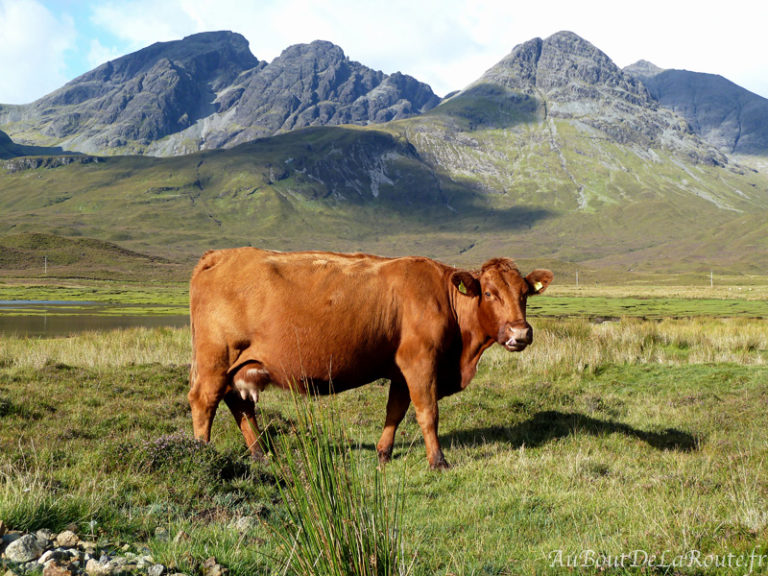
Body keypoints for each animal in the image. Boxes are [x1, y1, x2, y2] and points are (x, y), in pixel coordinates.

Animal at [191, 248, 552, 468]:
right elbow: (428, 412)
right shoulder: (421, 361)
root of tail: (220, 255)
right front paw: (438, 461)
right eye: (490, 293)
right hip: (216, 359)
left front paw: (383, 453)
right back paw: (201, 452)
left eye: (524, 294)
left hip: (240, 366)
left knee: (239, 405)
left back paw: (262, 455)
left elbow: (395, 410)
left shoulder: (400, 369)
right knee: (204, 401)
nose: (521, 333)